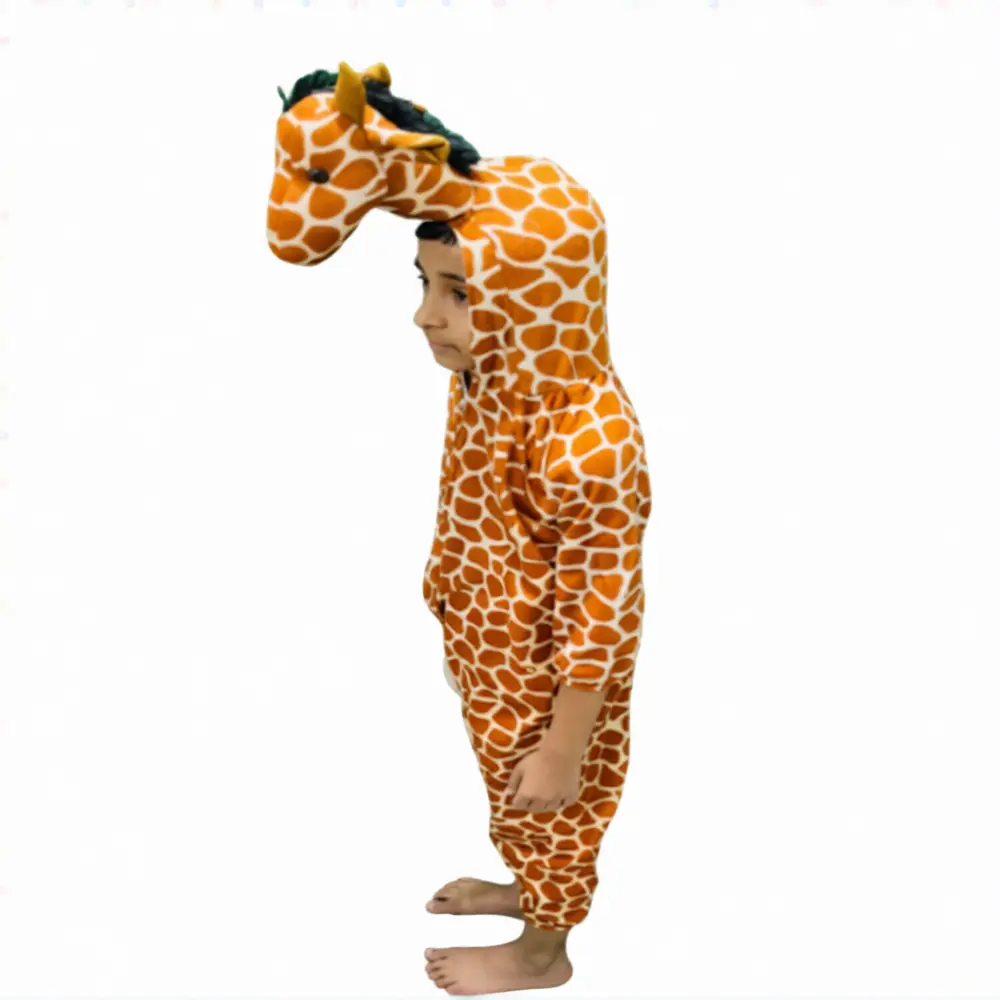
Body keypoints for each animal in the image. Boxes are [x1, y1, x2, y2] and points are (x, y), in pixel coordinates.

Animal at [266, 60, 652, 932]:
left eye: (321, 172)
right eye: (427, 281)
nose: (281, 239)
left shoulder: (601, 489)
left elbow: (594, 612)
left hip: (543, 704)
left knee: (558, 803)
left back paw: (532, 945)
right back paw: (503, 896)